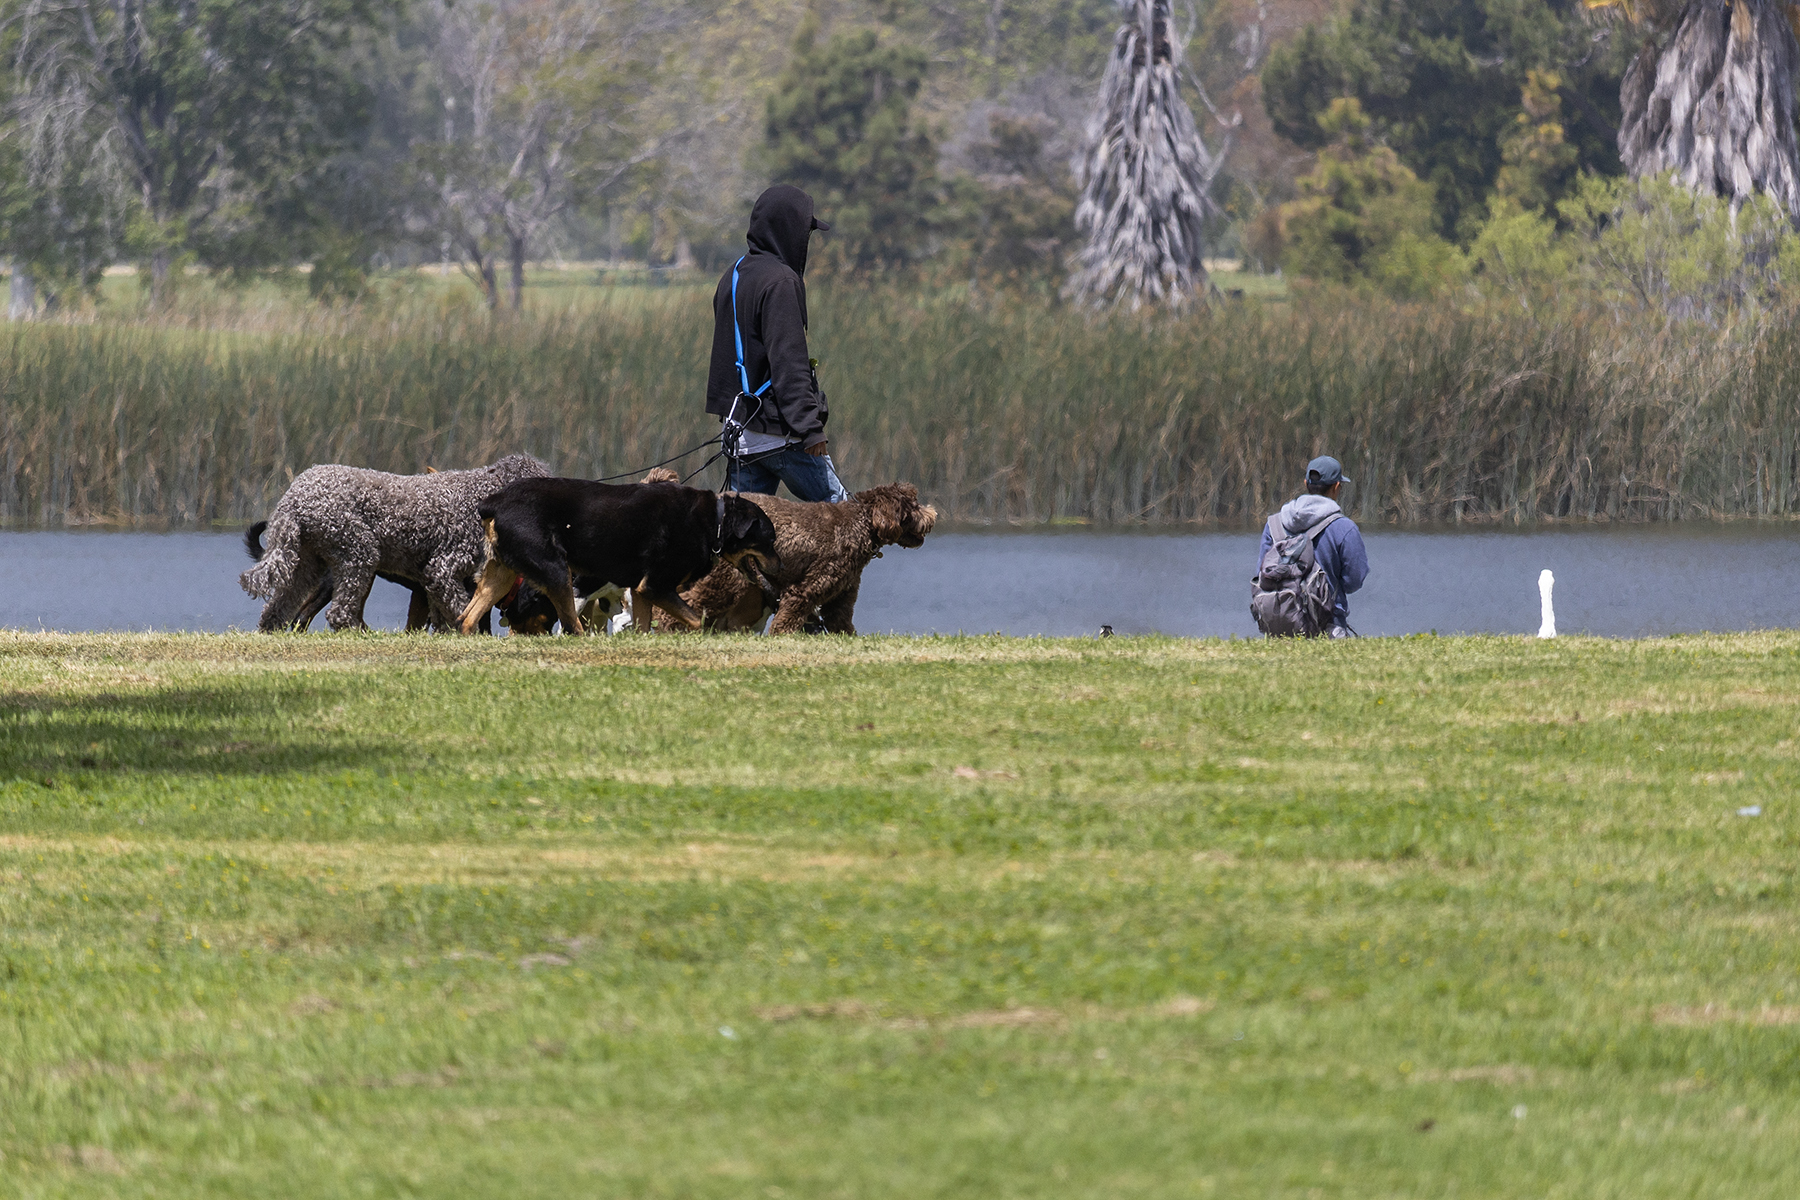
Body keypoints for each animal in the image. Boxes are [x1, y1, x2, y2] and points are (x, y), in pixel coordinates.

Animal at [241, 453, 547, 633]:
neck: (479, 494)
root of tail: (291, 497)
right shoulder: (442, 569)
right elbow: (460, 607)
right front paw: (464, 630)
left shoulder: (432, 580)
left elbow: (440, 613)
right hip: (358, 553)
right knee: (338, 613)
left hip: (304, 561)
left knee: (279, 606)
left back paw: (270, 629)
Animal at [460, 474, 777, 633]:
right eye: (771, 539)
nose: (781, 566)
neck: (716, 521)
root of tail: (495, 501)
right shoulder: (656, 586)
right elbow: (698, 620)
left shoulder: (640, 591)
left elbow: (642, 627)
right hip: (556, 571)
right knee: (572, 626)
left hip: (500, 575)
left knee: (467, 619)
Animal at [684, 482, 943, 633]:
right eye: (913, 506)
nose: (933, 515)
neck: (861, 522)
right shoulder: (807, 588)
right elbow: (788, 619)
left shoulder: (841, 595)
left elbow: (841, 623)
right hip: (726, 577)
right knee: (692, 601)